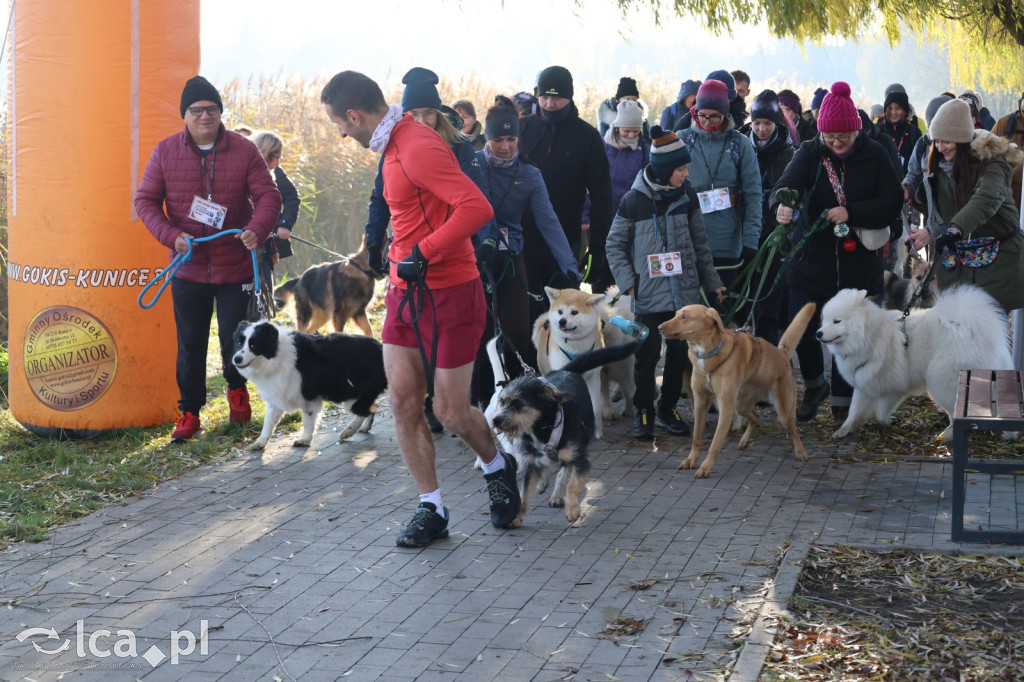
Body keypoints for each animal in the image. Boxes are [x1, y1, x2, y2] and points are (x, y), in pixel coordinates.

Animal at [489, 339, 638, 524]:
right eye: (502, 401)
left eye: (518, 403)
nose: (495, 420)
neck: (542, 429)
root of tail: (566, 370)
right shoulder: (530, 463)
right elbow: (523, 492)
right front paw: (517, 517)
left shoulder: (580, 459)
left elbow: (572, 484)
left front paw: (572, 509)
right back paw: (543, 482)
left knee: (564, 471)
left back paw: (557, 495)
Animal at [655, 303, 815, 477]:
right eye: (675, 314)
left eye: (685, 316)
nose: (659, 327)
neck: (708, 352)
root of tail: (782, 354)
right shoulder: (700, 402)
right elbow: (696, 437)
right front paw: (691, 460)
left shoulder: (725, 407)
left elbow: (715, 444)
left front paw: (705, 467)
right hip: (740, 405)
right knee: (756, 416)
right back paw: (744, 441)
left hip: (782, 410)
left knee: (793, 427)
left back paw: (800, 451)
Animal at [815, 284, 1015, 438]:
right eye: (824, 320)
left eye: (837, 321)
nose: (818, 333)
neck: (870, 336)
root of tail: (968, 325)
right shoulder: (863, 382)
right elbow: (854, 410)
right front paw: (844, 430)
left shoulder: (893, 387)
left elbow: (880, 412)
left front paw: (885, 423)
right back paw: (1008, 432)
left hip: (941, 382)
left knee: (956, 412)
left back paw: (947, 436)